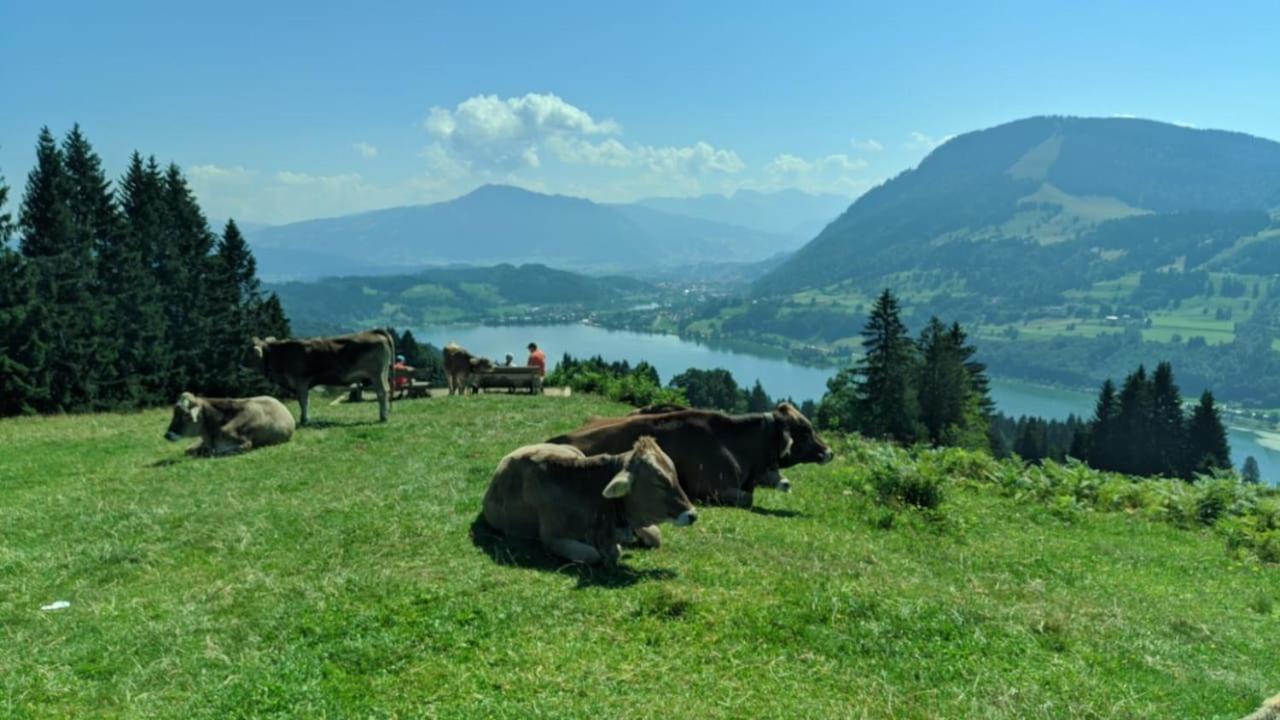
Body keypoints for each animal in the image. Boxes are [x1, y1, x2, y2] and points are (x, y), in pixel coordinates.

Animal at [244, 327, 391, 422]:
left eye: (250, 352)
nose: (241, 361)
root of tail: (374, 332)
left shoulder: (301, 382)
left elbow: (303, 402)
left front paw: (304, 419)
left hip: (376, 375)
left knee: (382, 392)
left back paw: (383, 417)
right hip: (382, 374)